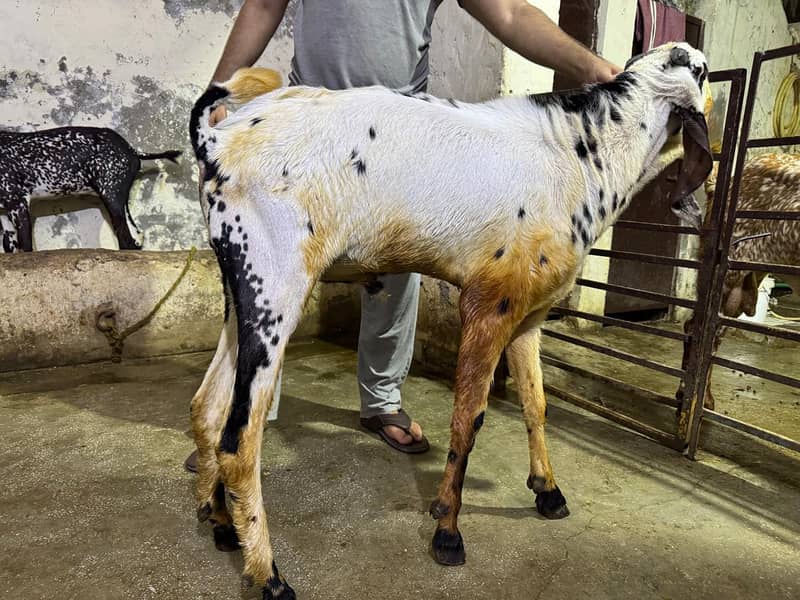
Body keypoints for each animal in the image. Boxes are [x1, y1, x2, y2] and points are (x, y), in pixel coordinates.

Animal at [0, 126, 181, 252]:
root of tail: (134, 151)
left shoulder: (18, 203)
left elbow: (26, 245)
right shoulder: (4, 213)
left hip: (111, 194)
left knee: (126, 239)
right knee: (136, 235)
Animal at [188, 42, 711, 598]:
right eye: (701, 72)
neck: (584, 152)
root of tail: (216, 139)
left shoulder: (530, 312)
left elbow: (535, 403)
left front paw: (547, 490)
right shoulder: (489, 301)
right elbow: (469, 418)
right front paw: (448, 531)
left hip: (240, 288)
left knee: (207, 407)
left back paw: (221, 524)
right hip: (276, 282)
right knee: (238, 441)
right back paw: (268, 574)